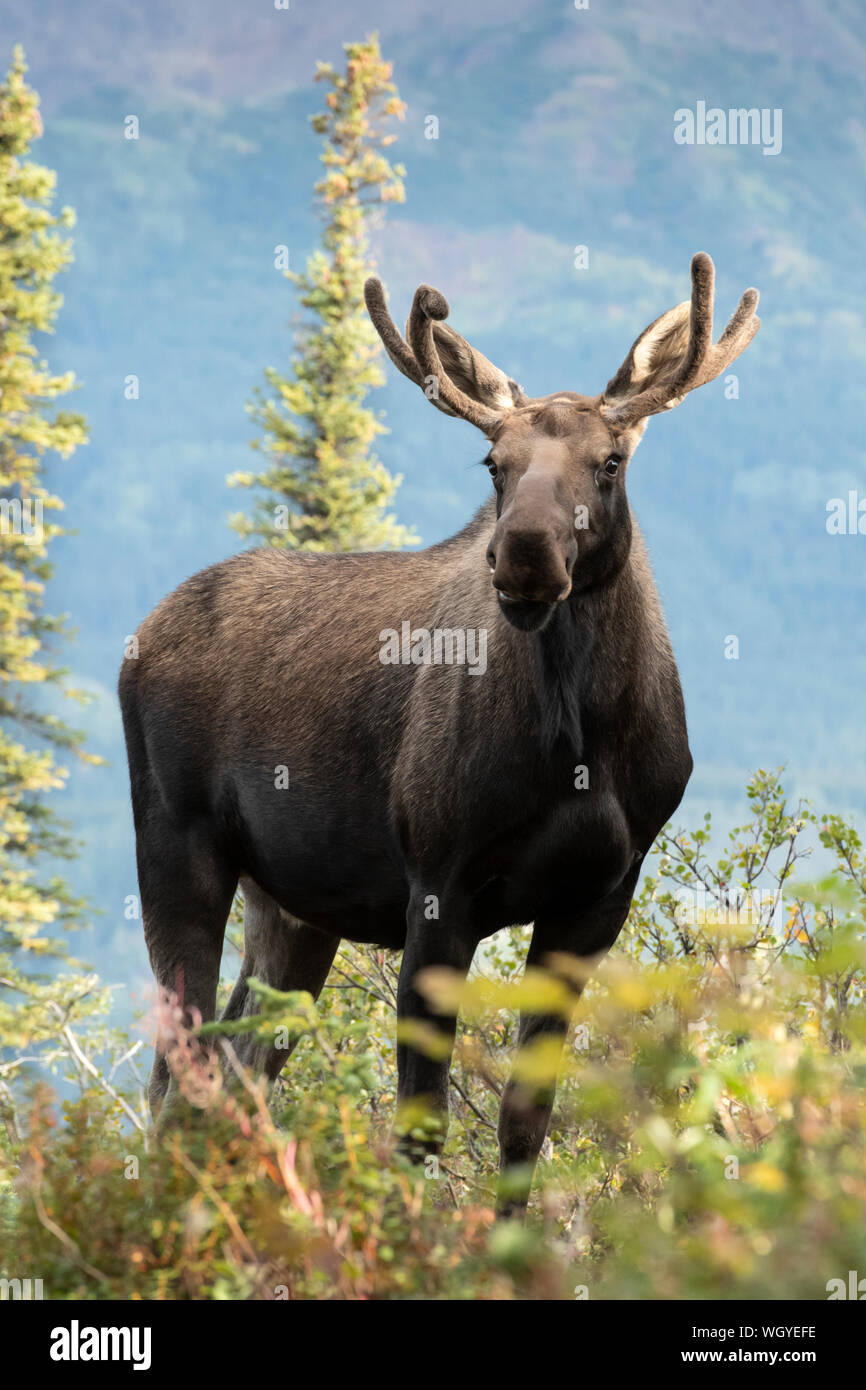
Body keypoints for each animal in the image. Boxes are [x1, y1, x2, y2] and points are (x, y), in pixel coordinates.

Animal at [120, 255, 756, 1212]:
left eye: (609, 461)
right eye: (494, 463)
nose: (523, 552)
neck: (581, 747)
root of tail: (140, 637)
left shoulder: (599, 897)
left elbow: (526, 1123)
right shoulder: (437, 880)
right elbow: (419, 1126)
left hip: (293, 906)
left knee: (234, 1069)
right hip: (176, 843)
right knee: (176, 1076)